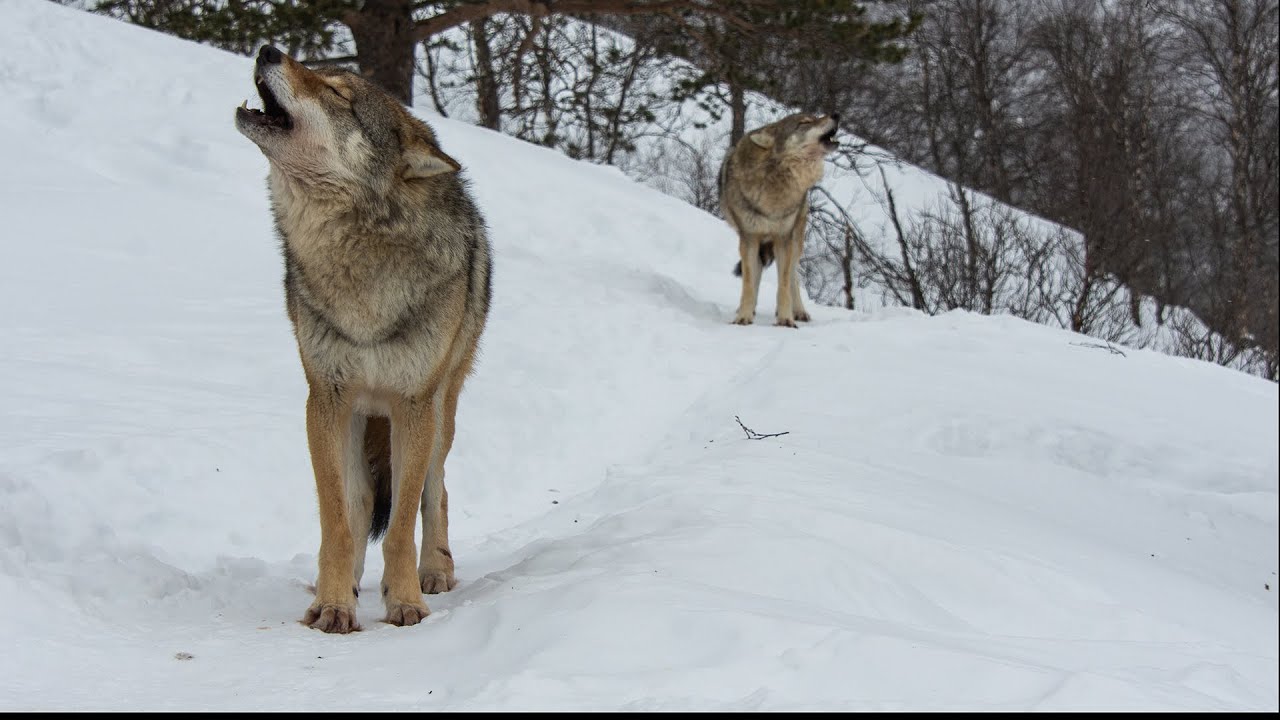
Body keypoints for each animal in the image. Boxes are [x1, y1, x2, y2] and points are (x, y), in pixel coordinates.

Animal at [235, 45, 492, 634]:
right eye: (317, 71)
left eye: (337, 95)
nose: (267, 50)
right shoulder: (326, 397)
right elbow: (338, 517)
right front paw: (334, 602)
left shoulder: (412, 404)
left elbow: (400, 523)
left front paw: (405, 601)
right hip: (357, 416)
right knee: (357, 501)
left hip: (440, 410)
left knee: (436, 490)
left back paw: (435, 571)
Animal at [718, 112, 840, 327]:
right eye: (805, 122)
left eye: (814, 117)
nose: (836, 114)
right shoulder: (749, 237)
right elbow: (748, 282)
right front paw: (743, 317)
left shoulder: (783, 238)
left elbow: (783, 284)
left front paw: (785, 319)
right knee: (757, 272)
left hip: (796, 240)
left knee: (793, 276)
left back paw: (798, 311)